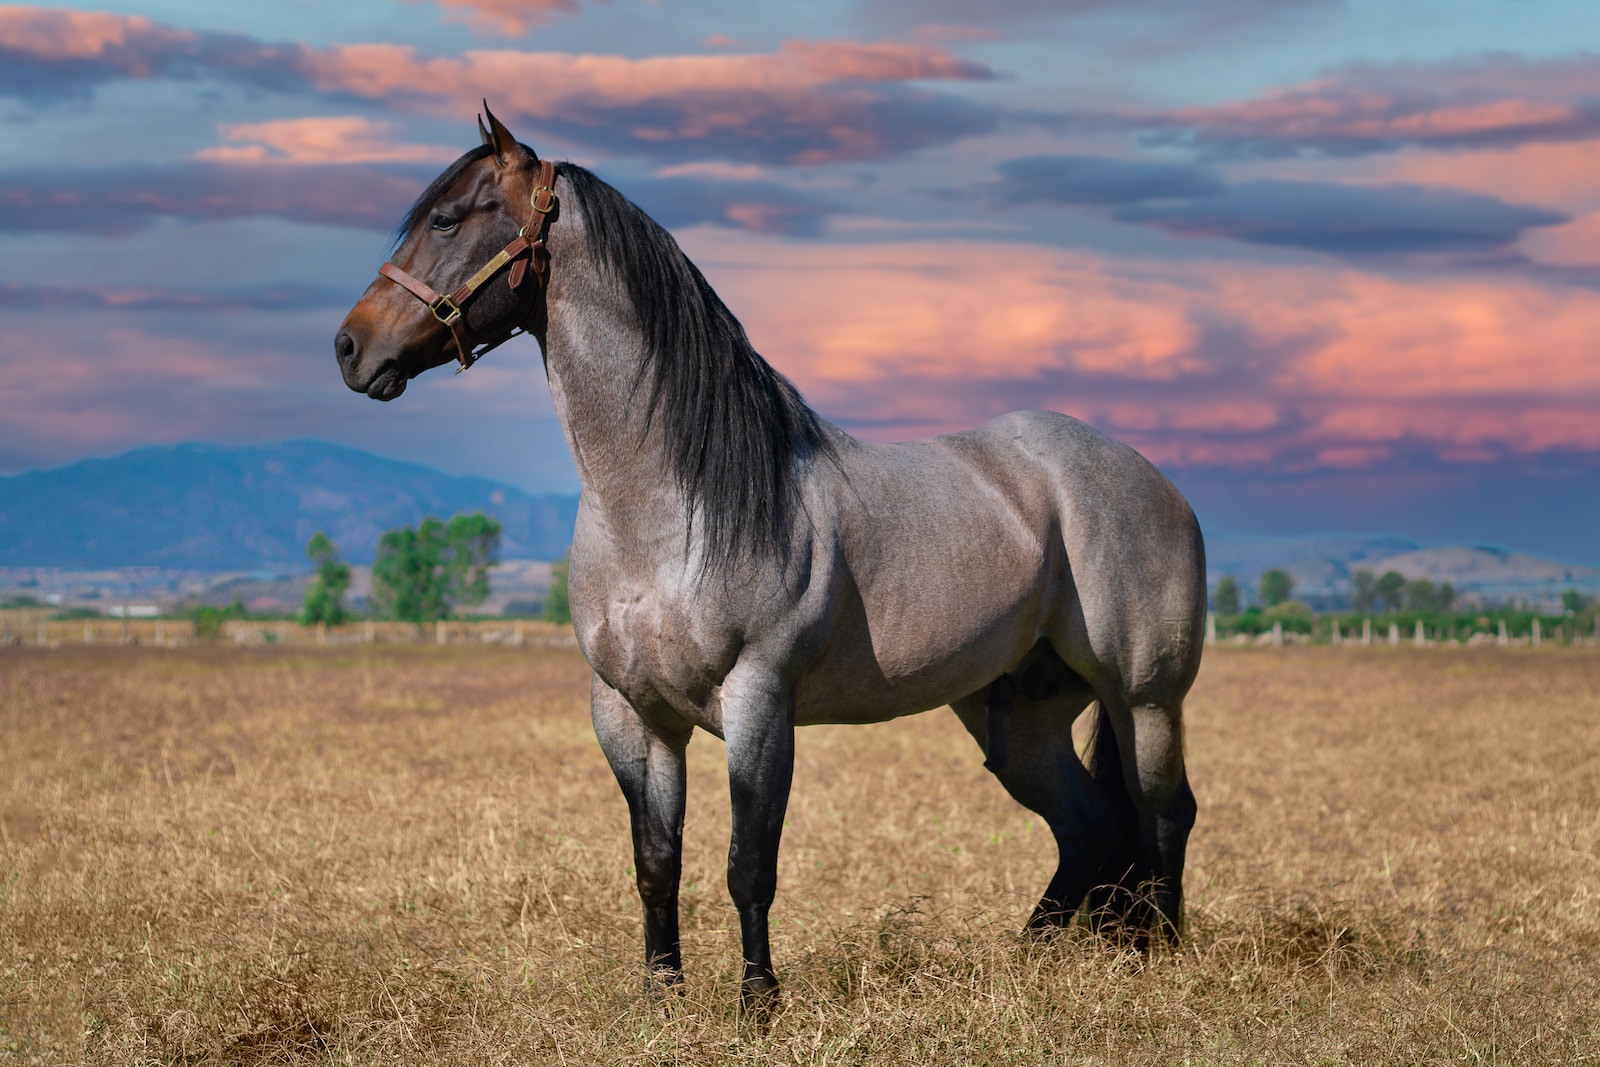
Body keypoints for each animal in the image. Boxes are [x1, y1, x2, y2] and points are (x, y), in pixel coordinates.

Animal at [335, 107, 1205, 1016]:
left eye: (446, 219)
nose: (351, 348)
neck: (666, 508)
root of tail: (1153, 480)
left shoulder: (759, 699)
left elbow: (749, 863)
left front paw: (758, 999)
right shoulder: (630, 713)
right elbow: (657, 863)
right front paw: (662, 995)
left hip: (1144, 697)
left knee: (1163, 811)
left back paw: (1162, 957)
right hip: (1016, 714)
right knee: (1088, 826)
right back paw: (1027, 957)